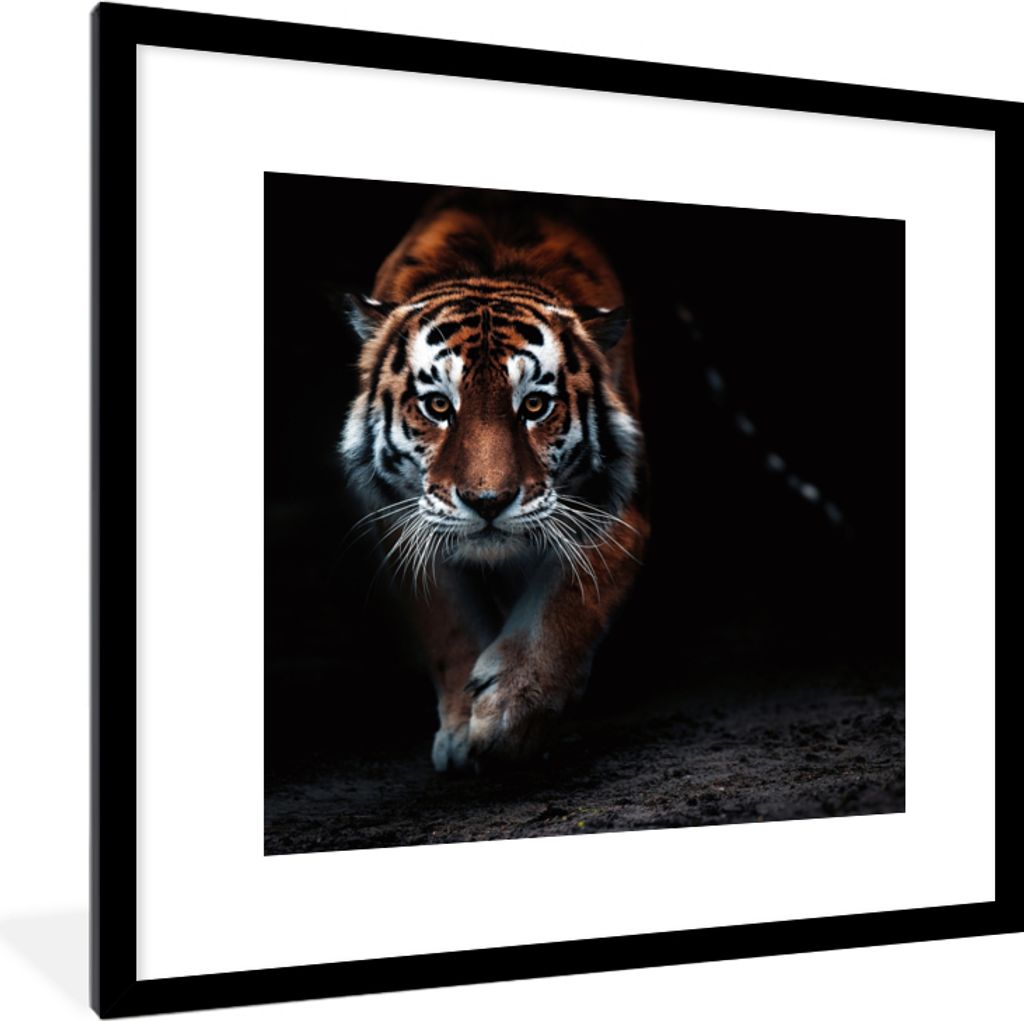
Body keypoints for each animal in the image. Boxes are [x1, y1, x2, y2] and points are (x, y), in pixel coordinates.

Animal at [340, 190, 650, 772]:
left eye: (534, 406)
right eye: (439, 406)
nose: (488, 501)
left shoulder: (618, 508)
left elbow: (569, 602)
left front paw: (511, 712)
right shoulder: (401, 520)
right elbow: (449, 622)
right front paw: (464, 731)